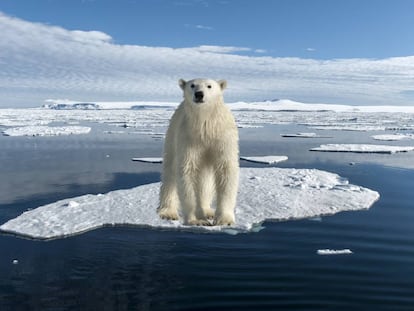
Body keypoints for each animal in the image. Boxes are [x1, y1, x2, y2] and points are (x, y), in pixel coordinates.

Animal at [158, 77, 239, 224]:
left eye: (209, 86)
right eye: (192, 85)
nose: (199, 94)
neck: (205, 123)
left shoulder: (222, 138)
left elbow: (226, 171)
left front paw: (224, 219)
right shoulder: (189, 138)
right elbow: (188, 171)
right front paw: (196, 220)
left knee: (205, 180)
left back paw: (207, 211)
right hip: (172, 136)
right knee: (170, 172)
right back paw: (168, 212)